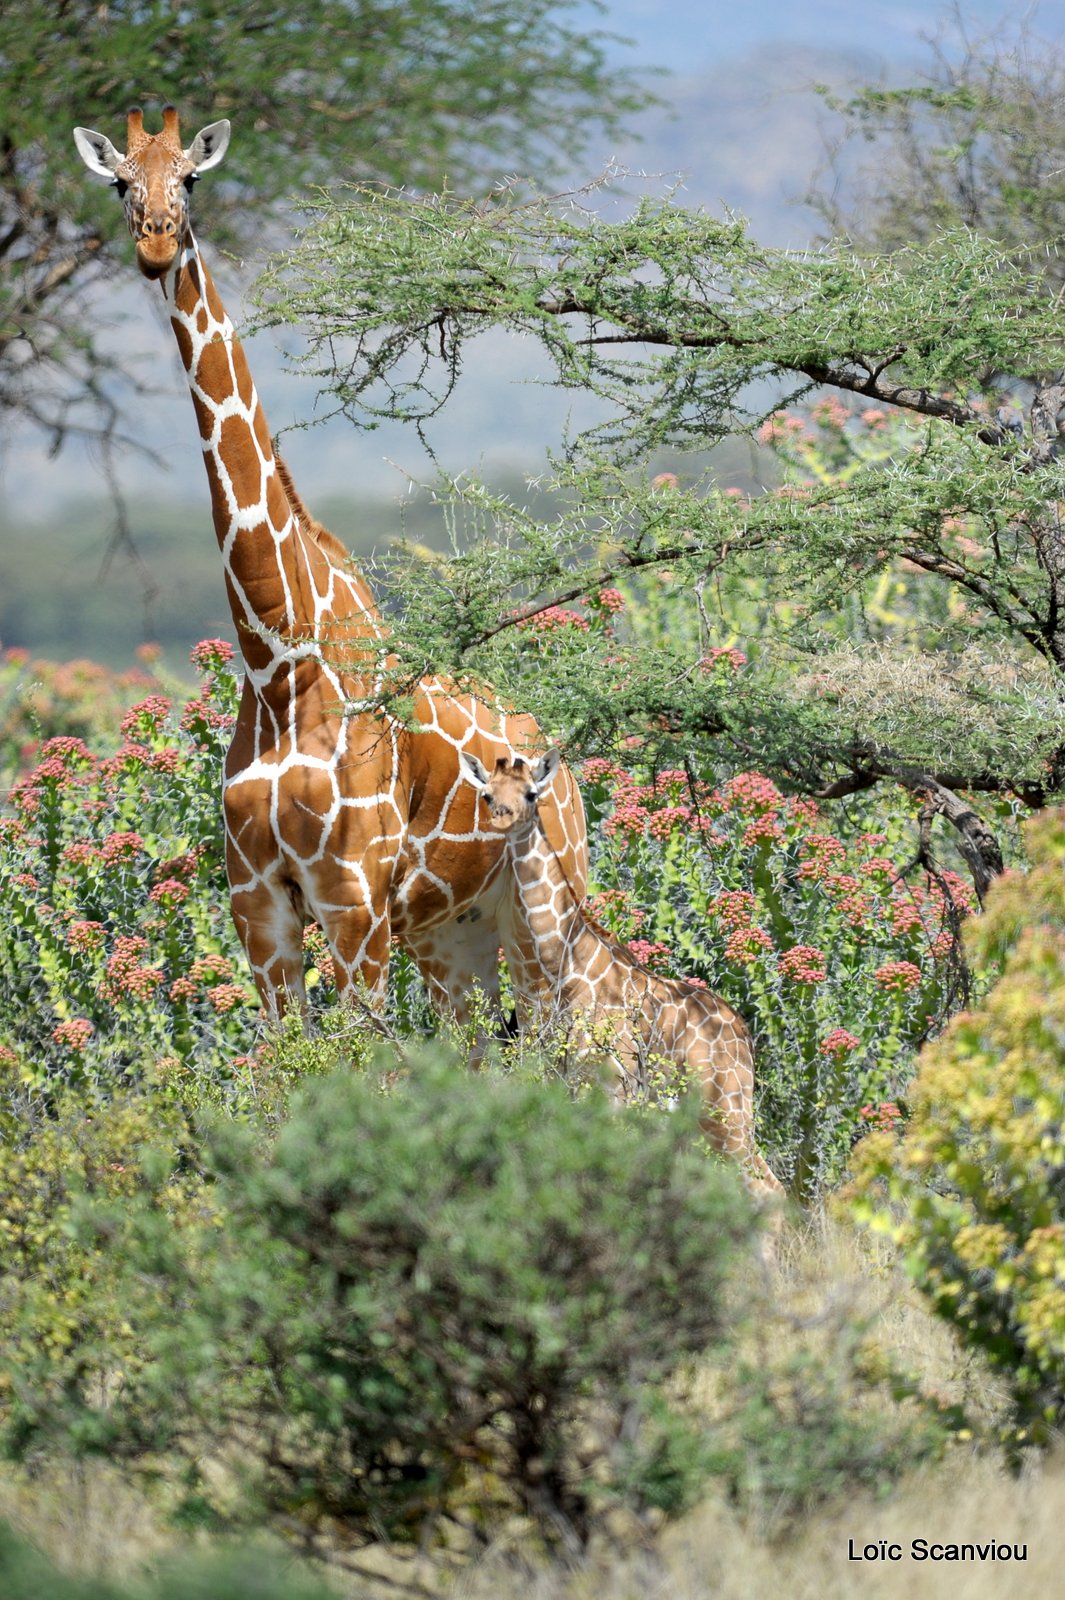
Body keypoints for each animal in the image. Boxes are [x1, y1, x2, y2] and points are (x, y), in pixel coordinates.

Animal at [72, 103, 588, 1024]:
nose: (158, 244)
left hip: (548, 911)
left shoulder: (350, 900)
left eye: (190, 178)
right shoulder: (259, 907)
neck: (279, 659)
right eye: (121, 183)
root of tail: (574, 782)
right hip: (451, 933)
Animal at [457, 748, 780, 1203]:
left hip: (724, 1105)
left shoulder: (613, 1085)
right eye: (486, 794)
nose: (502, 819)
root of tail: (746, 1036)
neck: (564, 964)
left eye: (532, 792)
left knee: (767, 1188)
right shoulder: (560, 1080)